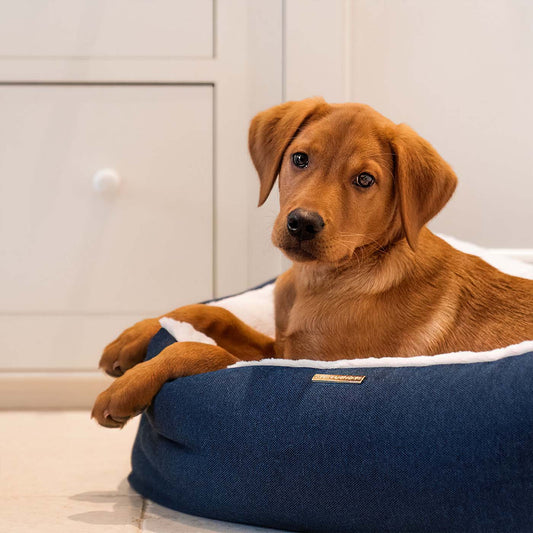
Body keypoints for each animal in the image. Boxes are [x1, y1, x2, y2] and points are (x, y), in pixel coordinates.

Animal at [92, 96, 532, 428]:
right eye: (300, 158)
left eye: (365, 180)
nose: (302, 223)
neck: (324, 279)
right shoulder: (283, 345)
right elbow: (212, 314)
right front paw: (134, 336)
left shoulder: (304, 362)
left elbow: (200, 351)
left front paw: (126, 388)